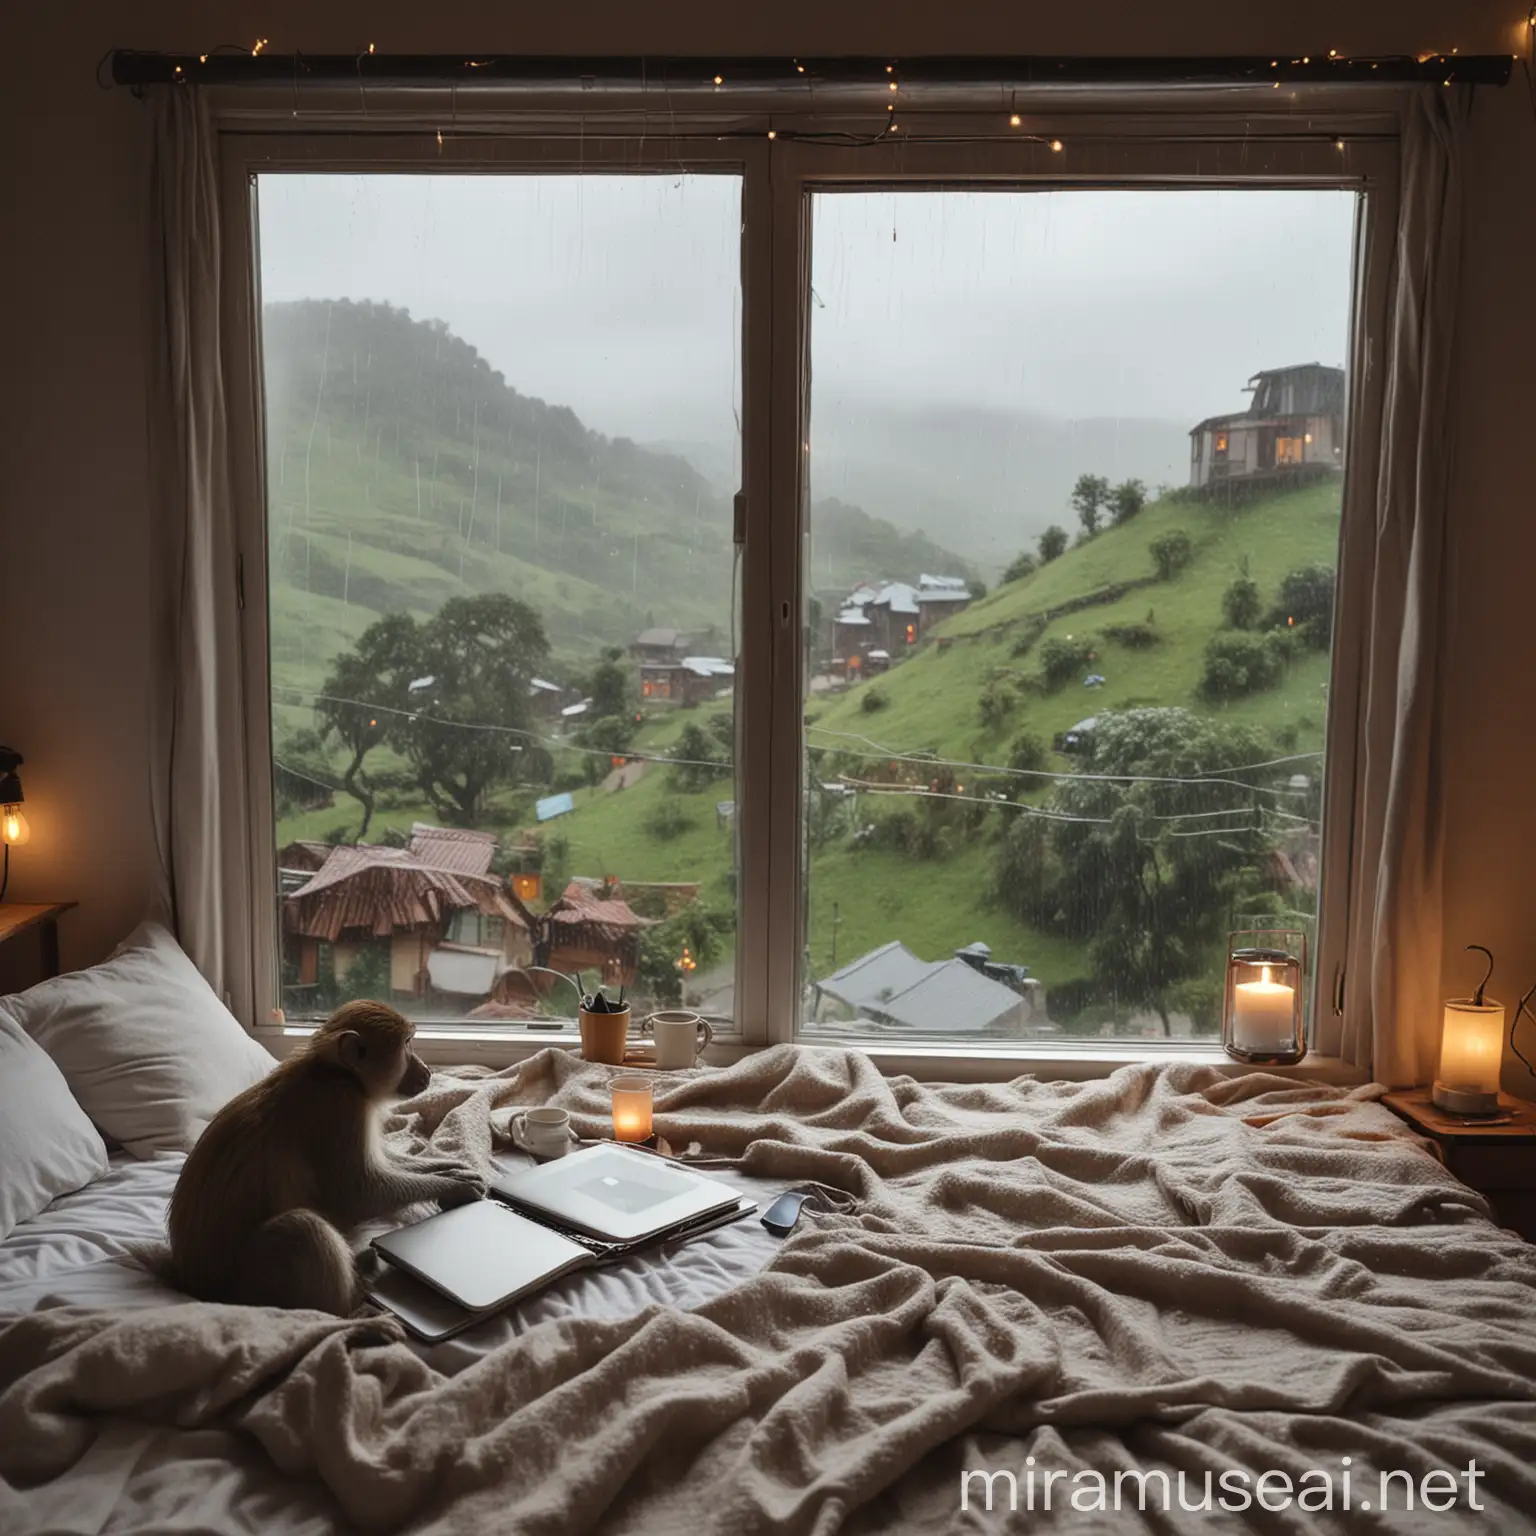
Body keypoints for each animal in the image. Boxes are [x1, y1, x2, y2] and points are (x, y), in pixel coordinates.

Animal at [167, 1001, 482, 1314]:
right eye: (406, 1044)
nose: (427, 1069)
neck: (337, 1072)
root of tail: (199, 1289)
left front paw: (448, 1168)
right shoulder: (341, 1105)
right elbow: (359, 1193)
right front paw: (453, 1186)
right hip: (254, 1286)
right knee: (301, 1227)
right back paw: (351, 1297)